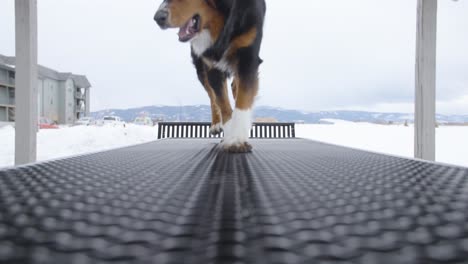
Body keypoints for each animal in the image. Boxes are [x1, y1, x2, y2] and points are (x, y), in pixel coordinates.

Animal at [153, 0, 264, 153]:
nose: (158, 18)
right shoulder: (211, 63)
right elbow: (222, 103)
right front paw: (230, 136)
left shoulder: (248, 56)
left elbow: (243, 99)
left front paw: (237, 139)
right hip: (200, 67)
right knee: (212, 96)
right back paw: (217, 124)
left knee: (235, 86)